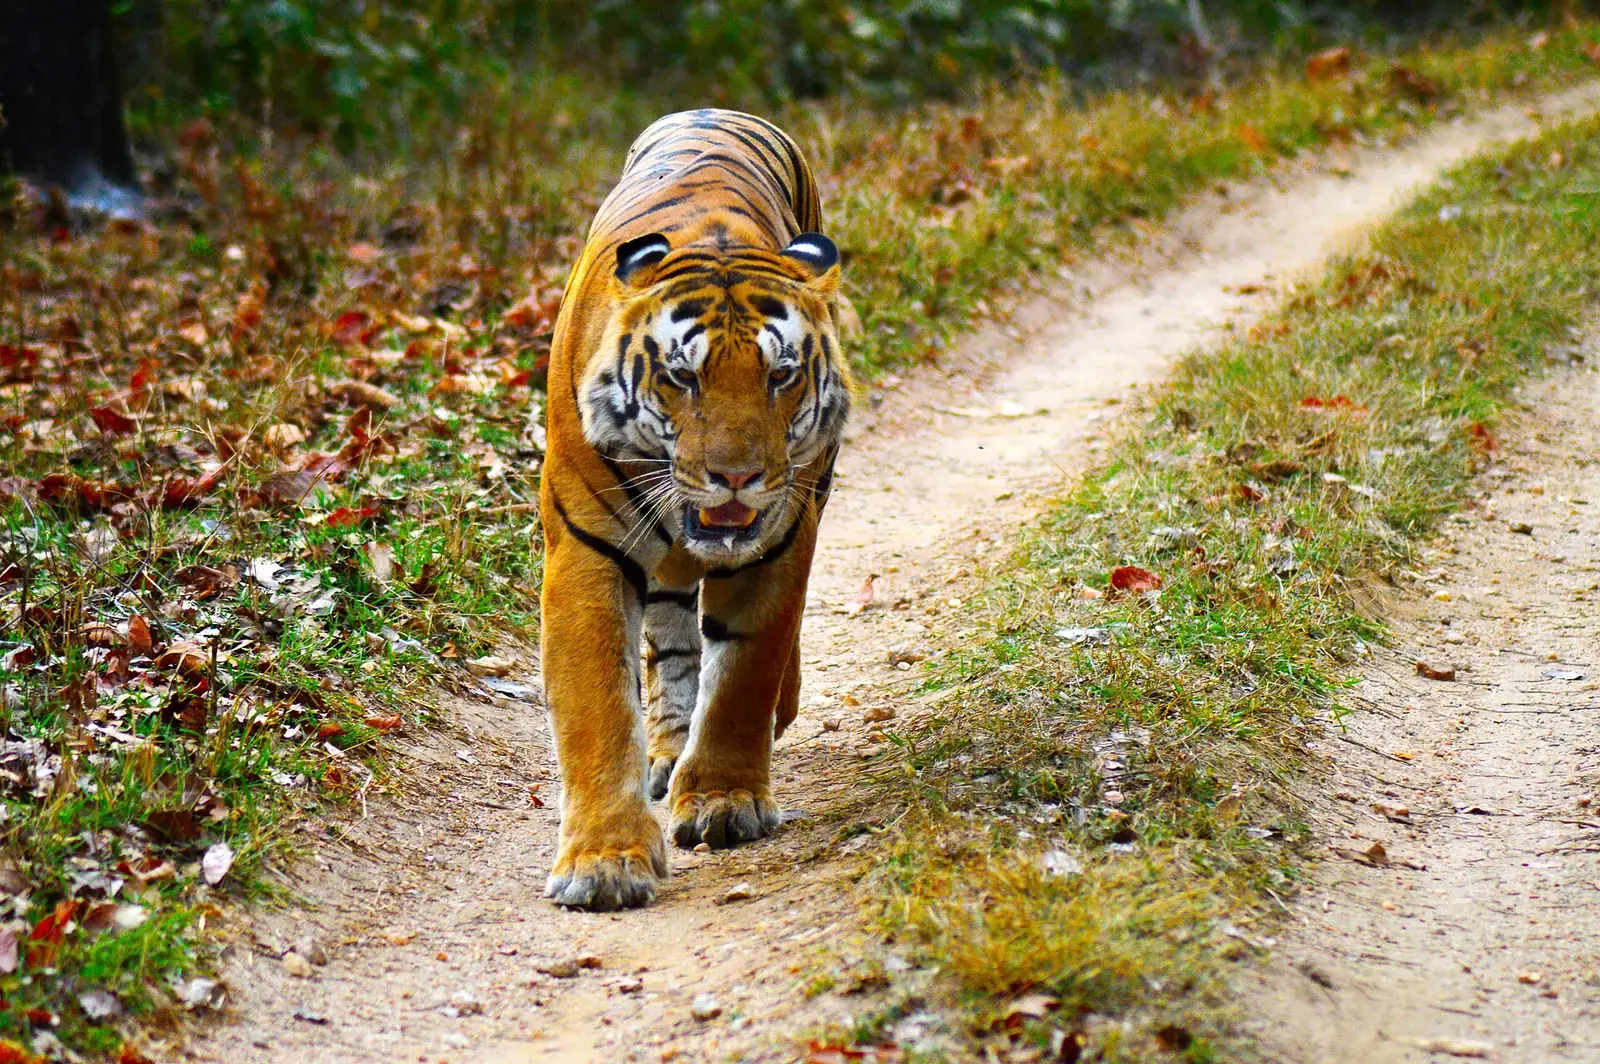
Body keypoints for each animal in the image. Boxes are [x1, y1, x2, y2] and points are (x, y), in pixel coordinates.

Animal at [537, 109, 851, 910]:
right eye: (682, 376)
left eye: (781, 375)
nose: (735, 477)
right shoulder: (586, 548)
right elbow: (599, 704)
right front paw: (604, 861)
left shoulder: (780, 539)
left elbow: (743, 672)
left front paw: (722, 801)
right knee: (674, 634)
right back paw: (669, 747)